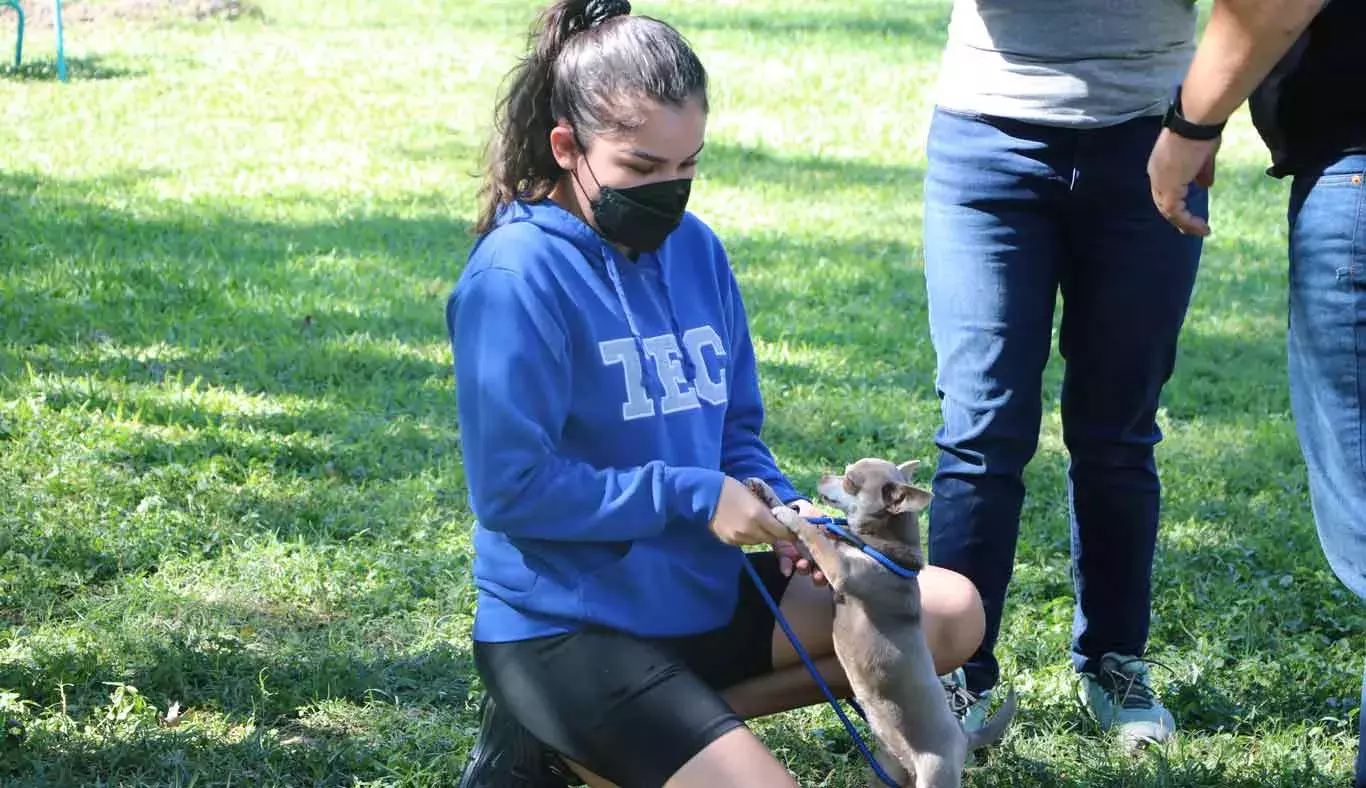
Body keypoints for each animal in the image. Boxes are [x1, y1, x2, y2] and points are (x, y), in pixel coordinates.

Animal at [748, 453, 1016, 786]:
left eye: (850, 481)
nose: (822, 475)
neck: (878, 549)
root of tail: (963, 737)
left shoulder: (840, 569)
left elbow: (812, 534)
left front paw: (787, 512)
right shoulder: (821, 562)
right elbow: (811, 535)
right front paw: (764, 490)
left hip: (935, 775)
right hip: (889, 767)